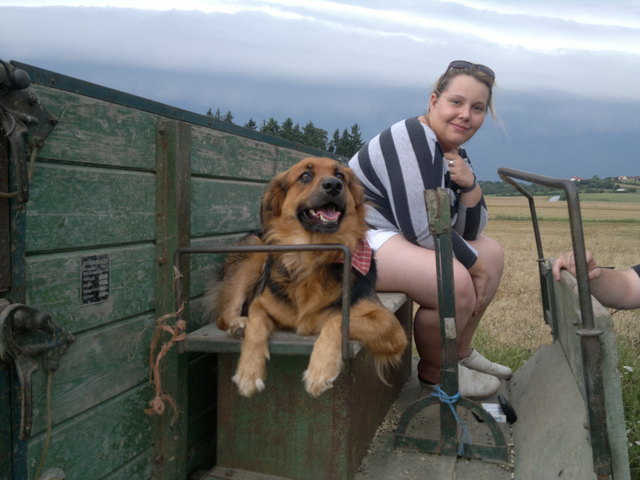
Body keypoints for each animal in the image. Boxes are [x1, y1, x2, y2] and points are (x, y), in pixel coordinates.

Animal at [202, 158, 408, 398]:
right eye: (305, 176)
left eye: (340, 176)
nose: (334, 185)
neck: (314, 255)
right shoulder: (260, 303)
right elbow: (256, 324)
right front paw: (248, 372)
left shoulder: (390, 325)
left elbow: (337, 319)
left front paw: (320, 369)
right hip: (256, 248)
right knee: (224, 316)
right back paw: (239, 324)